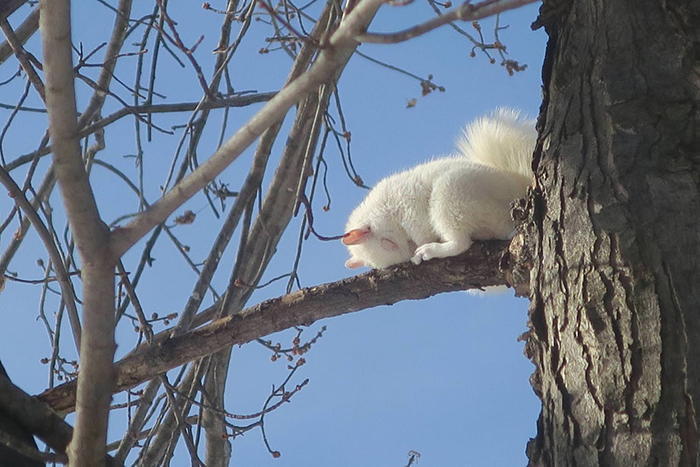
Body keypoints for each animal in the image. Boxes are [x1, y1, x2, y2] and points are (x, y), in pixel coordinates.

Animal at [342, 109, 532, 268]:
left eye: (388, 243)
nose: (411, 251)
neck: (383, 209)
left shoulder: (407, 205)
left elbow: (418, 227)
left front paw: (420, 246)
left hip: (451, 194)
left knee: (460, 243)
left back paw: (431, 250)